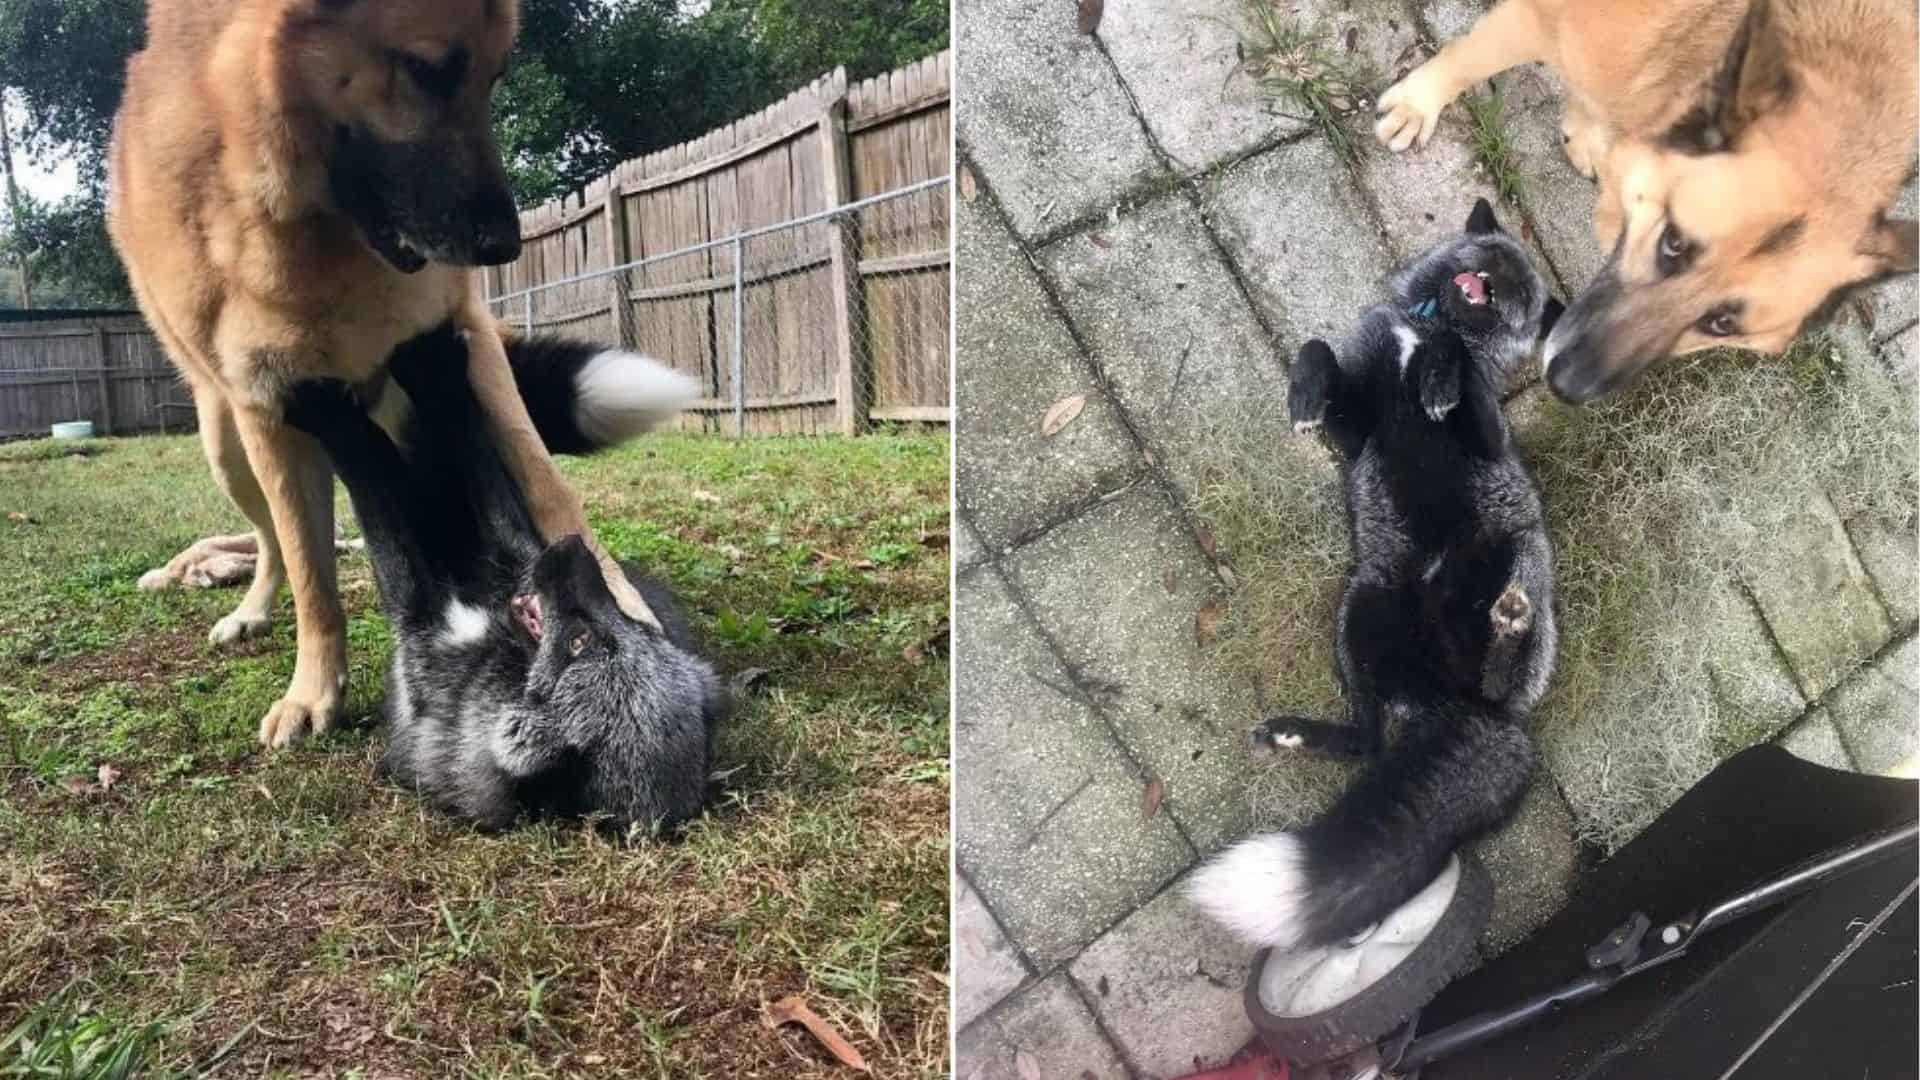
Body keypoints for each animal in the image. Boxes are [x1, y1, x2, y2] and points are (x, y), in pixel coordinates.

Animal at [108, 0, 675, 745]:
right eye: (428, 70)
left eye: (494, 78)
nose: (505, 246)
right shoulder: (266, 408)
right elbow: (308, 569)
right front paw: (314, 687)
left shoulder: (464, 336)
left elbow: (547, 486)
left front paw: (617, 598)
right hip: (226, 447)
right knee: (271, 539)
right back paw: (251, 605)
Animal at [284, 322, 725, 826]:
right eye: (641, 628)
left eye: (579, 642)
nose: (569, 546)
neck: (500, 648)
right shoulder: (513, 547)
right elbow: (479, 457)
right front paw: (442, 373)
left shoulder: (417, 617)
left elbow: (373, 487)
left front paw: (334, 415)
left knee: (400, 470)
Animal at [1182, 199, 1559, 941]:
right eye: (1492, 256)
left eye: (1522, 291)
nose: (1496, 276)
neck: (1431, 325)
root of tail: (1454, 702)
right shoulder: (1357, 430)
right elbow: (1319, 350)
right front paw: (1305, 391)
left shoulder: (1487, 431)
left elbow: (1455, 382)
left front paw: (1440, 377)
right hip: (1360, 611)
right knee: (1367, 741)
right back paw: (1301, 733)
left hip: (1525, 558)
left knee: (1492, 672)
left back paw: (1507, 629)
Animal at [1374, 0, 1912, 399]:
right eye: (1673, 243)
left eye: (1722, 323)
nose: (1565, 385)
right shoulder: (1535, 19)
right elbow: (1465, 62)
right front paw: (1418, 104)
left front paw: (1585, 130)